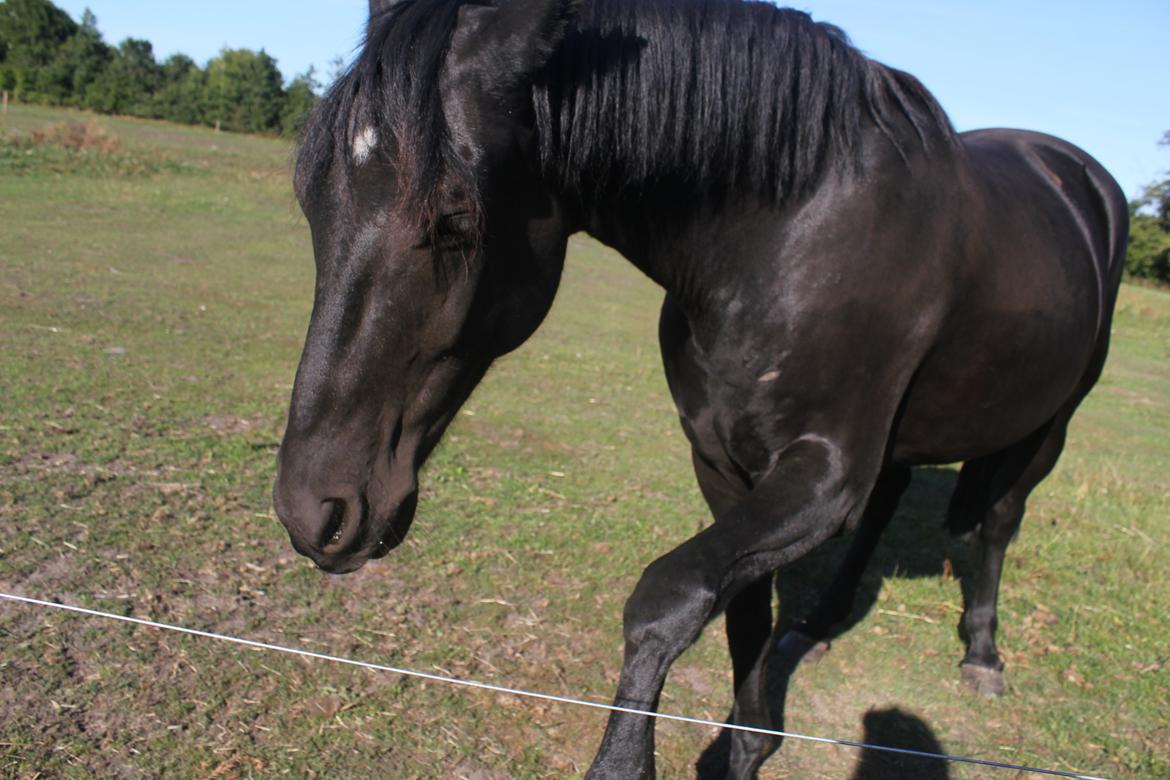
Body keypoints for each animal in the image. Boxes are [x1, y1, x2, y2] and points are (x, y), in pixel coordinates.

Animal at [271, 3, 1123, 776]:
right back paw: (822, 619)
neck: (792, 231)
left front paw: (625, 762)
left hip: (1052, 423)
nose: (314, 512)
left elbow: (668, 595)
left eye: (453, 221)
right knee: (887, 507)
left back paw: (983, 653)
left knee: (999, 524)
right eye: (311, 201)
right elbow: (740, 614)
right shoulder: (722, 465)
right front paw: (747, 742)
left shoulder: (823, 478)